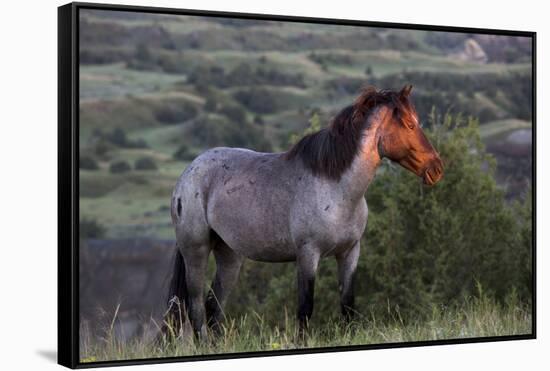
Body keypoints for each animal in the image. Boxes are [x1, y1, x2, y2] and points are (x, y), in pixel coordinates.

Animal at [160, 85, 444, 342]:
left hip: (229, 255)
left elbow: (348, 304)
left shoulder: (350, 252)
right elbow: (306, 307)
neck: (336, 188)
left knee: (213, 305)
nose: (437, 168)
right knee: (196, 305)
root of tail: (188, 173)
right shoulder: (308, 254)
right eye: (409, 124)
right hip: (196, 251)